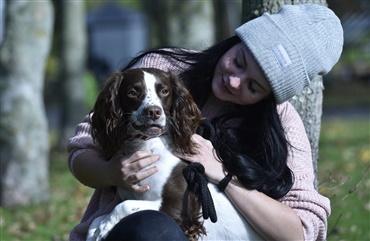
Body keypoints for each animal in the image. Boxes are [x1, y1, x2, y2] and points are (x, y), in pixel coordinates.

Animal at [85, 68, 262, 241]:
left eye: (164, 91)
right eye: (132, 92)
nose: (153, 112)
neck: (148, 146)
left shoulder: (180, 209)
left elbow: (125, 205)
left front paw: (105, 226)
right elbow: (95, 221)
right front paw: (99, 229)